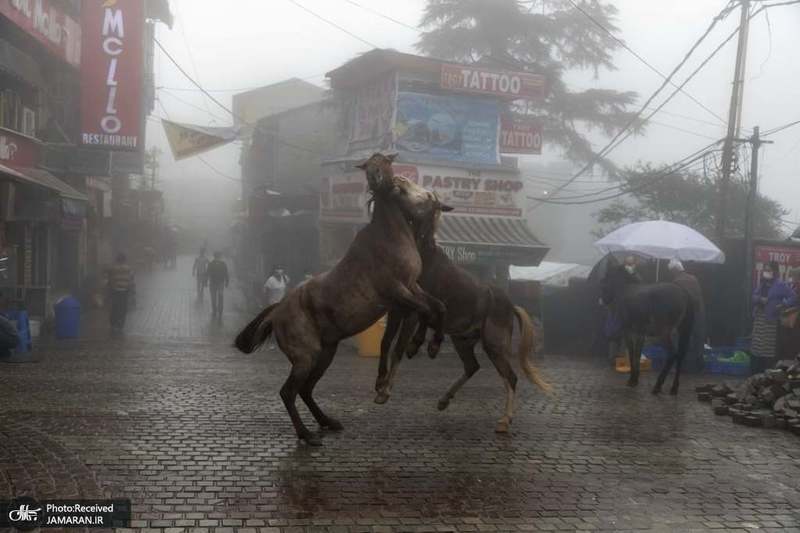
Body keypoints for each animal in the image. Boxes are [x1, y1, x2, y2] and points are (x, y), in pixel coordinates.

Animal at [236, 154, 450, 444]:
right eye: (368, 165)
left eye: (385, 163)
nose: (379, 179)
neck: (390, 238)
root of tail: (277, 311)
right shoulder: (398, 292)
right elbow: (425, 313)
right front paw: (423, 346)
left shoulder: (408, 291)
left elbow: (434, 309)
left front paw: (385, 382)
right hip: (306, 356)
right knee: (289, 392)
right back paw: (307, 435)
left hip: (326, 352)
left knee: (305, 390)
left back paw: (328, 422)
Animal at [374, 209, 552, 432]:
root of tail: (510, 306)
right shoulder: (397, 311)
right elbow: (385, 343)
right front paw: (381, 384)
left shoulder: (411, 314)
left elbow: (398, 349)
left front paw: (385, 392)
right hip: (462, 341)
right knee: (472, 366)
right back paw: (444, 400)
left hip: (494, 345)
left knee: (510, 376)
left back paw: (504, 421)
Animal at [600, 262, 692, 394]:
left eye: (606, 277)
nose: (603, 300)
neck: (626, 290)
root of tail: (683, 292)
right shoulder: (640, 334)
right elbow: (637, 355)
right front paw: (635, 379)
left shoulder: (629, 332)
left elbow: (633, 354)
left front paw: (632, 380)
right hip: (681, 331)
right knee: (680, 355)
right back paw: (674, 388)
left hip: (663, 333)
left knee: (672, 354)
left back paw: (658, 386)